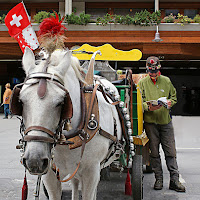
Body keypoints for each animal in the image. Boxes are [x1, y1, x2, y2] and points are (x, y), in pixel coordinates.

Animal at [21, 47, 122, 200]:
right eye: (21, 100)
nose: (34, 160)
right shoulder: (50, 174)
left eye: (61, 102)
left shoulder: (92, 171)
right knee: (75, 182)